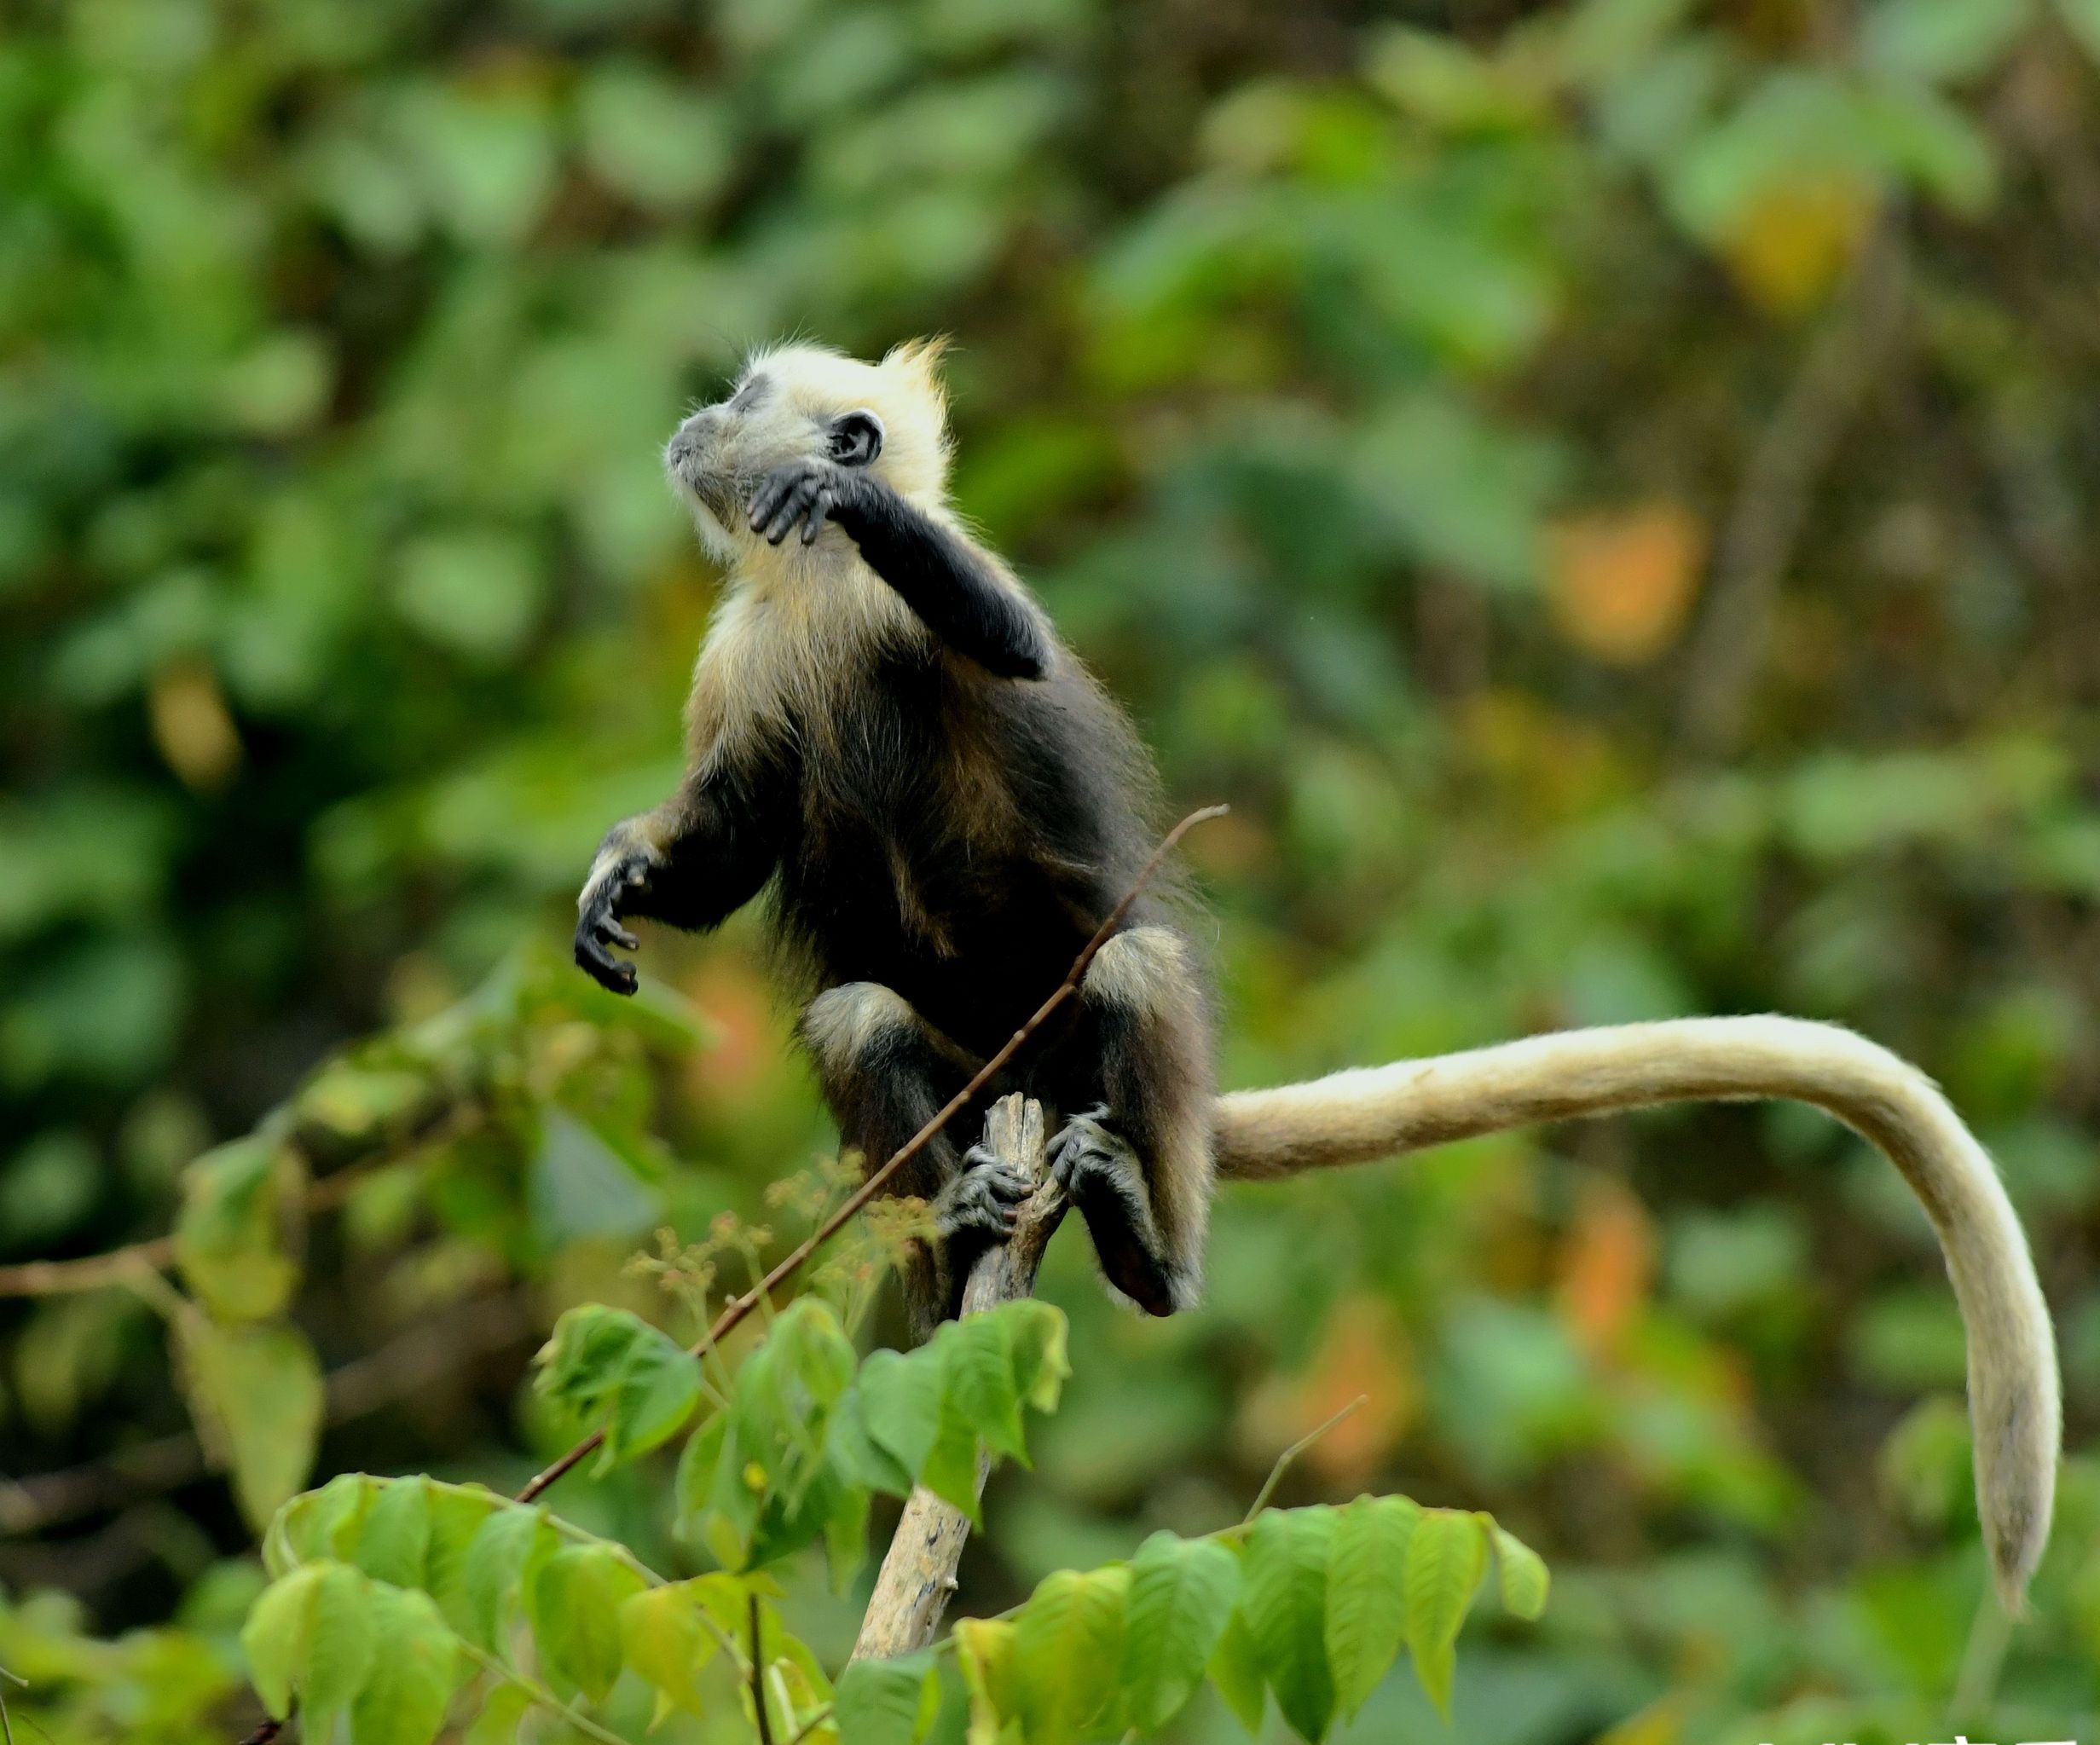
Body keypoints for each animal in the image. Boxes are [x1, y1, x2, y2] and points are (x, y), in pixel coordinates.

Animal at [583, 338, 2057, 1612]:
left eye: (748, 395)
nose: (695, 420)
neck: (819, 602)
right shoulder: (739, 662)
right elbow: (719, 859)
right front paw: (616, 881)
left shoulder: (909, 602)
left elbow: (1007, 639)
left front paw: (848, 495)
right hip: (977, 1073)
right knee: (859, 1013)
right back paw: (954, 1244)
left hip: (1082, 1062)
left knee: (1133, 967)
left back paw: (1150, 1254)